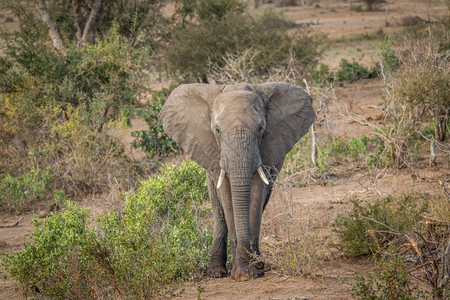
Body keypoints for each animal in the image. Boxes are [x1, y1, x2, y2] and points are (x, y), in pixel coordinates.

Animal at [160, 82, 314, 282]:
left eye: (260, 128)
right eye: (217, 130)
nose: (255, 264)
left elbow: (257, 194)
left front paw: (251, 270)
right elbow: (227, 196)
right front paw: (242, 273)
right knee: (218, 210)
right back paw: (216, 272)